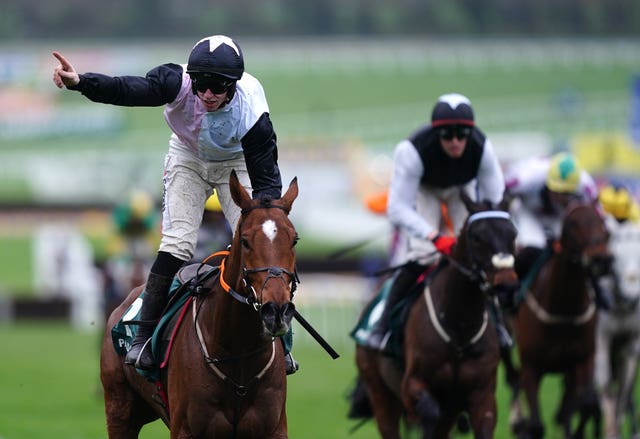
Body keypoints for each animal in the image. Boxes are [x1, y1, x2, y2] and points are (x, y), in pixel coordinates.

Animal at [100, 170, 300, 438]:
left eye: (294, 240)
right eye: (245, 241)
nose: (276, 310)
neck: (238, 352)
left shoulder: (273, 429)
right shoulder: (186, 430)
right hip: (120, 409)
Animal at [510, 200, 608, 439]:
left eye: (601, 222)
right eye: (572, 224)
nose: (601, 259)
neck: (564, 311)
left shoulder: (582, 360)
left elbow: (586, 404)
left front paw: (576, 430)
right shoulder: (531, 367)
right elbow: (536, 424)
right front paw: (524, 425)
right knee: (513, 380)